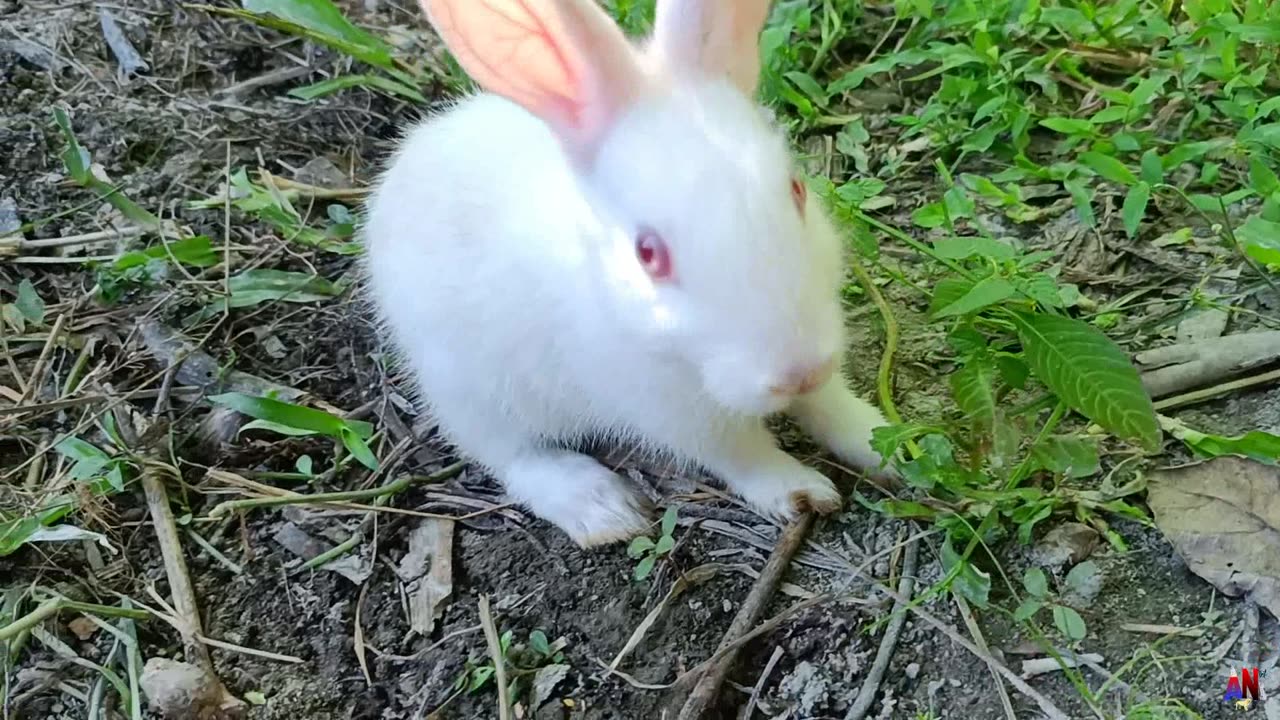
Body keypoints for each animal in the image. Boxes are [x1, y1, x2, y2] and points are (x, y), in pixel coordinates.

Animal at [366, 0, 896, 543]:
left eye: (797, 191)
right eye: (647, 254)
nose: (797, 372)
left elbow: (833, 407)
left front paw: (884, 445)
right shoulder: (673, 414)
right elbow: (742, 453)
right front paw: (800, 490)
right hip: (468, 388)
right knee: (510, 455)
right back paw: (603, 510)